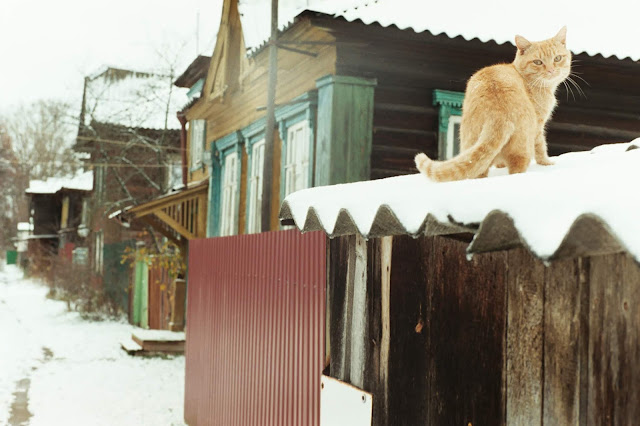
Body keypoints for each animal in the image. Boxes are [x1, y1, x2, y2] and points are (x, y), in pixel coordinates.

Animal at [416, 26, 568, 180]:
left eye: (557, 58)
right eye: (538, 62)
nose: (551, 70)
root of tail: (498, 112)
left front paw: (500, 165)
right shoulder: (538, 125)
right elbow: (541, 146)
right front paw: (546, 162)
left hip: (472, 143)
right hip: (522, 146)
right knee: (517, 167)